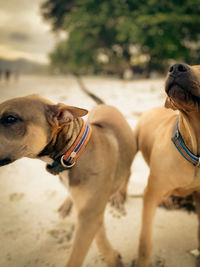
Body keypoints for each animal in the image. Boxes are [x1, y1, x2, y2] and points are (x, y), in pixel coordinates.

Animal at [0, 95, 137, 266]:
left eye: (10, 119)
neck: (72, 154)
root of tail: (105, 105)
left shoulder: (89, 217)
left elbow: (79, 254)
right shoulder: (90, 217)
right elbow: (98, 237)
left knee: (126, 174)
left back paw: (119, 195)